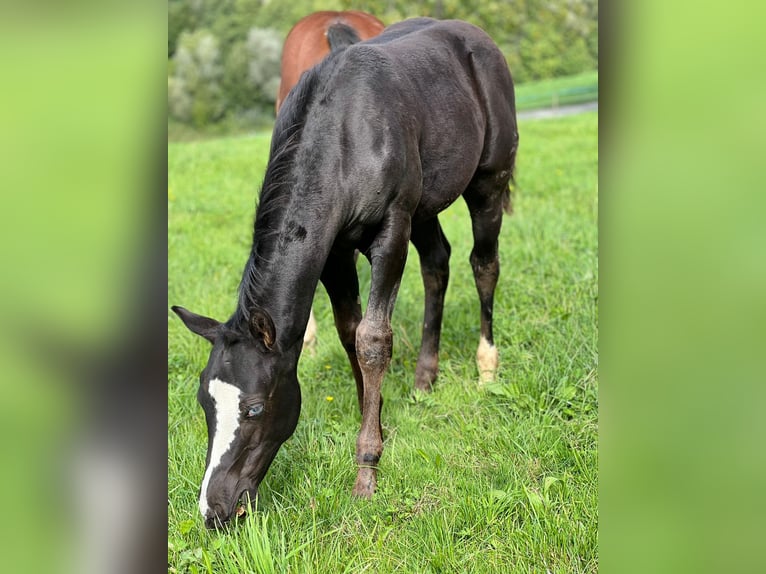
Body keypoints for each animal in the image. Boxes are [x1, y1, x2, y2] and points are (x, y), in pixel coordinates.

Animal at [172, 17, 519, 529]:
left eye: (254, 408)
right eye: (204, 402)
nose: (214, 509)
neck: (342, 138)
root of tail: (478, 37)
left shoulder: (391, 230)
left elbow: (373, 339)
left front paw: (367, 471)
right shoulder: (334, 251)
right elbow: (349, 330)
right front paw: (377, 420)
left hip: (487, 183)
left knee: (484, 264)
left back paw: (486, 368)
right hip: (426, 206)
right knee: (437, 262)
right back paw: (425, 379)